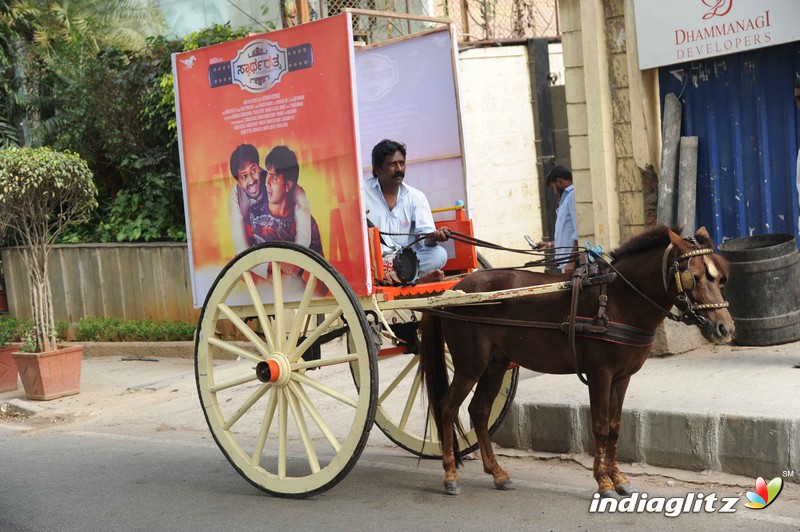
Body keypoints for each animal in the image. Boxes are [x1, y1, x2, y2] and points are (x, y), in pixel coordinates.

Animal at [422, 225, 736, 498]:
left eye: (721, 278)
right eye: (694, 277)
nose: (725, 328)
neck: (617, 300)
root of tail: (453, 290)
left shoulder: (622, 377)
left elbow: (615, 426)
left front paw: (619, 479)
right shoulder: (600, 374)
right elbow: (599, 426)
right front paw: (604, 482)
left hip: (495, 364)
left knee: (479, 411)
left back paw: (498, 473)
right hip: (470, 365)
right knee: (448, 407)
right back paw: (450, 475)